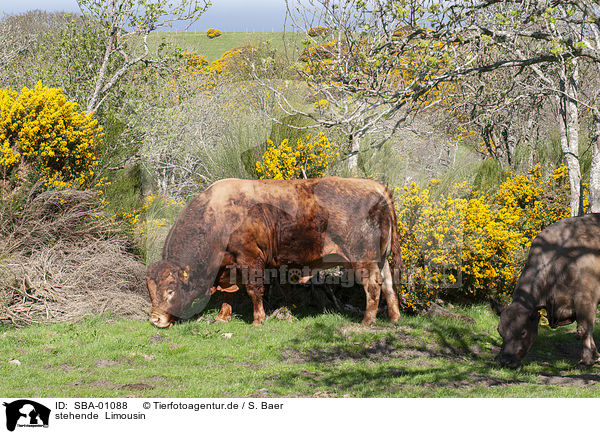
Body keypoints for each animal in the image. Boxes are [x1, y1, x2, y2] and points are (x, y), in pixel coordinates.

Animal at [144, 176, 404, 326]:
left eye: (170, 289)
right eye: (150, 290)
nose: (155, 319)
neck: (217, 216)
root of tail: (377, 188)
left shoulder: (250, 259)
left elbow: (253, 290)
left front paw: (258, 320)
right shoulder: (229, 266)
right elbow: (229, 293)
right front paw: (222, 317)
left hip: (363, 260)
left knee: (373, 287)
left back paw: (367, 321)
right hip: (381, 260)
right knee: (388, 285)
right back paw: (394, 318)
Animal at [490, 213, 600, 366]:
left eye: (523, 332)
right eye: (500, 331)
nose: (506, 361)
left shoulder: (586, 299)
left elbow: (584, 329)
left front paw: (586, 360)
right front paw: (596, 355)